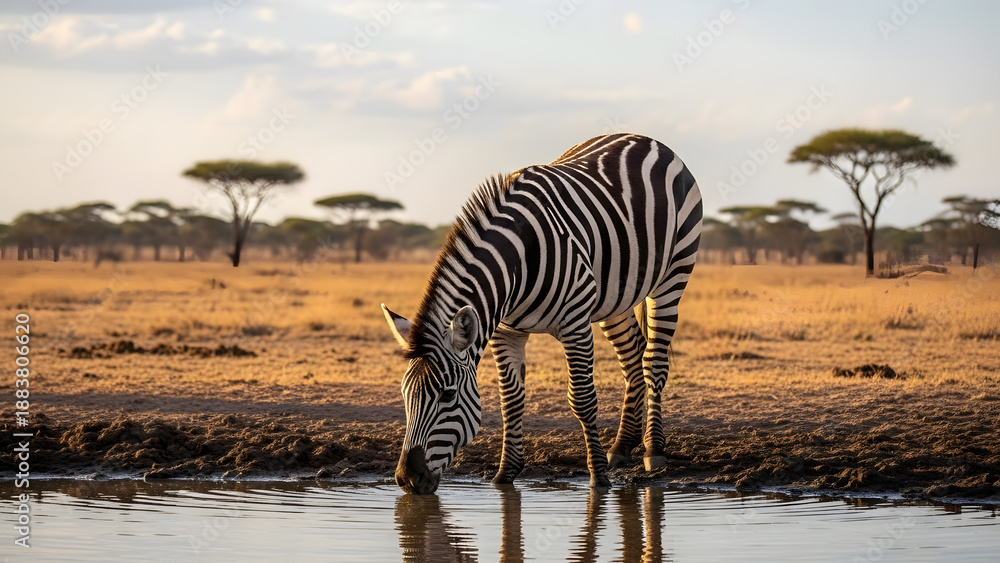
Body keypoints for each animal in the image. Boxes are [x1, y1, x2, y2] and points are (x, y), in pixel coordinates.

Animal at [382, 133, 703, 494]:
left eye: (448, 395)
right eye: (405, 395)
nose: (407, 479)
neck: (516, 265)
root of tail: (643, 138)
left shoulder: (575, 322)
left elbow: (582, 398)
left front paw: (599, 478)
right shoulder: (506, 331)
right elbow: (510, 400)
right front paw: (505, 475)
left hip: (672, 275)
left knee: (654, 362)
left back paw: (653, 449)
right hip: (614, 297)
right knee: (633, 355)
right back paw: (622, 445)